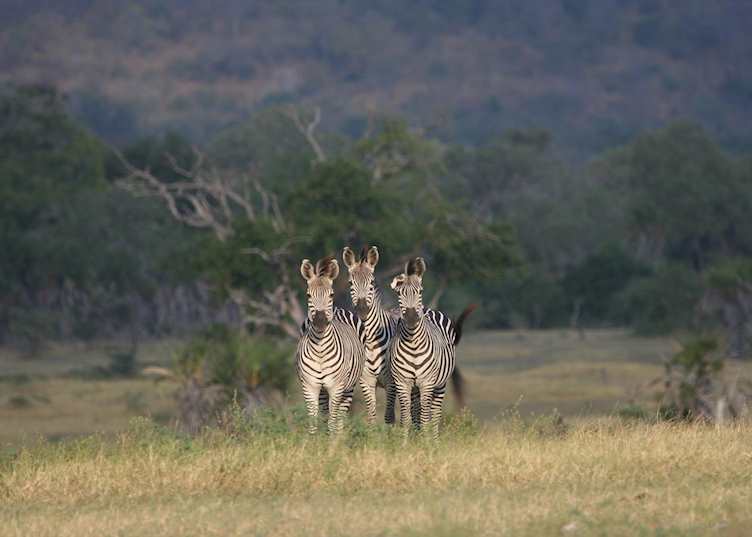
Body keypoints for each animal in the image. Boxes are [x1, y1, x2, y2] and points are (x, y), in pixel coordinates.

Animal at [296, 256, 366, 434]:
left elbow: (332, 421)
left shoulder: (336, 387)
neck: (320, 350)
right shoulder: (309, 386)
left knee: (339, 418)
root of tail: (339, 310)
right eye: (308, 295)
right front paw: (314, 440)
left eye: (331, 294)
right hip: (322, 391)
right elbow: (313, 421)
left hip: (349, 388)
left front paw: (330, 440)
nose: (320, 321)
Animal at [388, 257, 475, 438]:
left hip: (439, 385)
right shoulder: (403, 382)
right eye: (400, 293)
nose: (412, 318)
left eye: (420, 291)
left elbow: (425, 418)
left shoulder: (427, 382)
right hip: (415, 388)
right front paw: (405, 442)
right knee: (417, 412)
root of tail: (430, 309)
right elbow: (406, 418)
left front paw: (427, 443)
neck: (413, 344)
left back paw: (433, 439)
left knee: (433, 415)